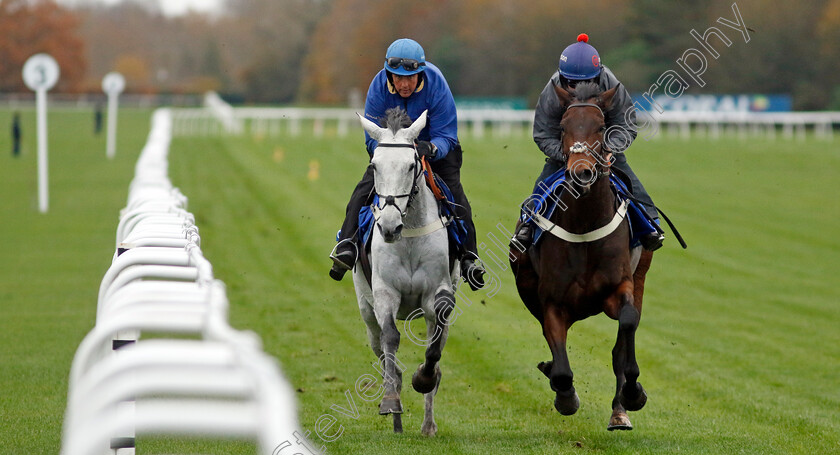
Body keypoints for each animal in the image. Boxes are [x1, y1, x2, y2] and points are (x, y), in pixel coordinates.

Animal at [508, 83, 652, 432]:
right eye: (563, 127)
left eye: (601, 127)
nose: (581, 173)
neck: (585, 225)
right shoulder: (552, 302)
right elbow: (560, 365)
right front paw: (565, 396)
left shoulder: (621, 287)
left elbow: (627, 327)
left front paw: (633, 393)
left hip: (641, 275)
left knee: (621, 344)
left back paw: (620, 411)